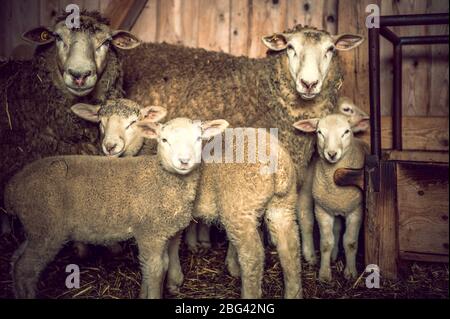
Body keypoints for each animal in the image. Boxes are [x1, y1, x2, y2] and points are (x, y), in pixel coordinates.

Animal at [3, 116, 239, 298]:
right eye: (164, 140)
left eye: (199, 138)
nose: (184, 161)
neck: (161, 178)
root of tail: (13, 187)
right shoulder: (149, 232)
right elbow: (156, 268)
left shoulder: (169, 231)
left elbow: (164, 260)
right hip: (46, 228)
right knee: (25, 269)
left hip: (34, 228)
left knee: (15, 261)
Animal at [142, 118, 302, 300]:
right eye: (164, 140)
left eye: (198, 138)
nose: (184, 161)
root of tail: (277, 160)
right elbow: (175, 239)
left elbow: (172, 242)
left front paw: (173, 279)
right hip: (283, 203)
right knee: (290, 248)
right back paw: (294, 292)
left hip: (238, 207)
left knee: (252, 257)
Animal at [292, 113, 370, 282]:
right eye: (319, 132)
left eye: (346, 131)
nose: (332, 154)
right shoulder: (322, 210)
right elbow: (326, 242)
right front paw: (324, 274)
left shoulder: (356, 210)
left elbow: (350, 242)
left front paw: (350, 272)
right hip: (307, 189)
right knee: (306, 220)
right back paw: (310, 256)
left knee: (337, 228)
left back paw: (334, 256)